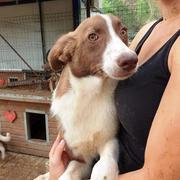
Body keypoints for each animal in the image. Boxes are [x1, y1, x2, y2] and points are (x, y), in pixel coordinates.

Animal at [47, 14, 137, 180]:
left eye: (123, 31)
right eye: (93, 36)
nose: (131, 60)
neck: (90, 96)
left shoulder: (110, 140)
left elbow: (103, 166)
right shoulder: (78, 156)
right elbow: (68, 172)